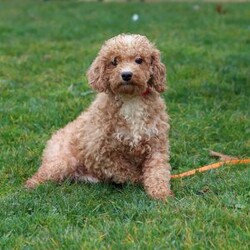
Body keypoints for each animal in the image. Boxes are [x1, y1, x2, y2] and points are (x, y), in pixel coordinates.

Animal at [26, 33, 173, 201]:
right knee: (41, 175)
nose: (126, 74)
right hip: (62, 161)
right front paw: (139, 179)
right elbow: (124, 169)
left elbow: (158, 170)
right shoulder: (98, 152)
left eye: (139, 60)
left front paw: (161, 193)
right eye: (114, 62)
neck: (130, 99)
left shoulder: (156, 143)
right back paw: (31, 186)